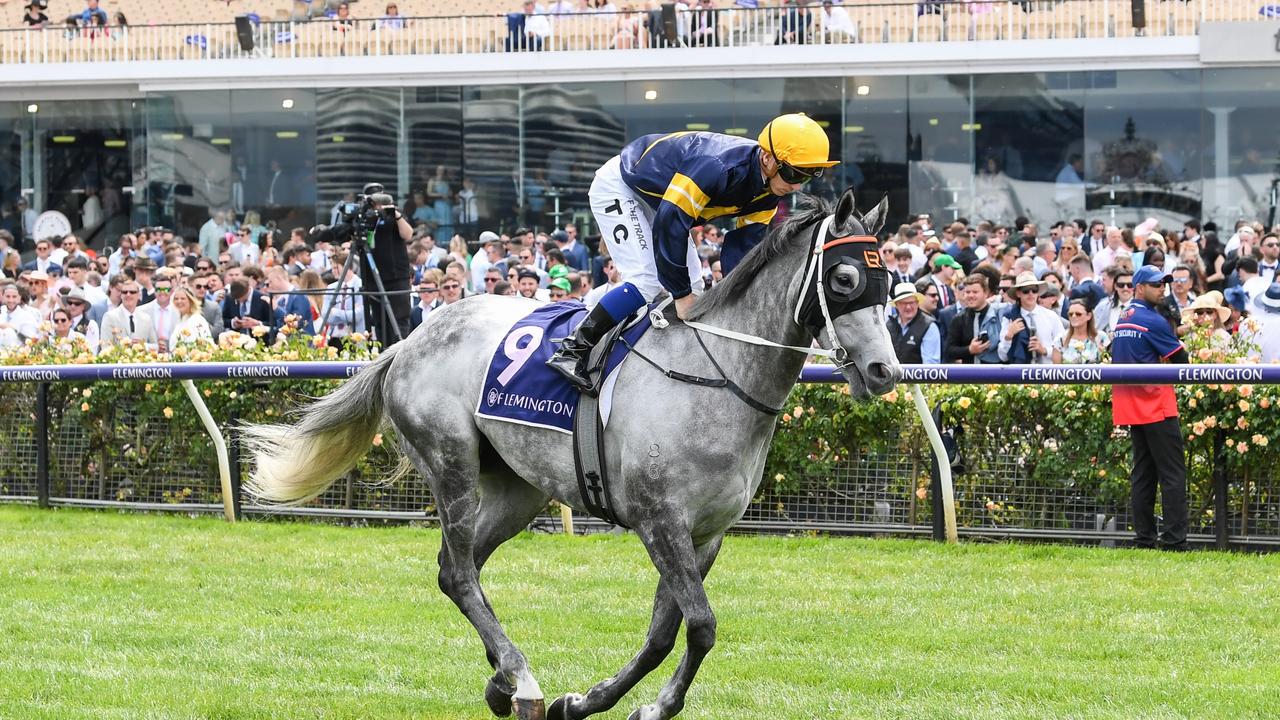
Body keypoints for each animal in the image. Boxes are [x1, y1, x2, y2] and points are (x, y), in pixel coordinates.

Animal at [241, 188, 901, 712]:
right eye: (844, 279)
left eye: (890, 282)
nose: (884, 371)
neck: (716, 374)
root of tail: (408, 340)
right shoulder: (659, 520)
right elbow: (699, 626)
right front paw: (625, 705)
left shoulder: (704, 534)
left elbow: (666, 633)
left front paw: (606, 703)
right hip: (450, 459)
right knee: (459, 572)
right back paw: (521, 678)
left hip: (518, 488)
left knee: (460, 569)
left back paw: (501, 683)